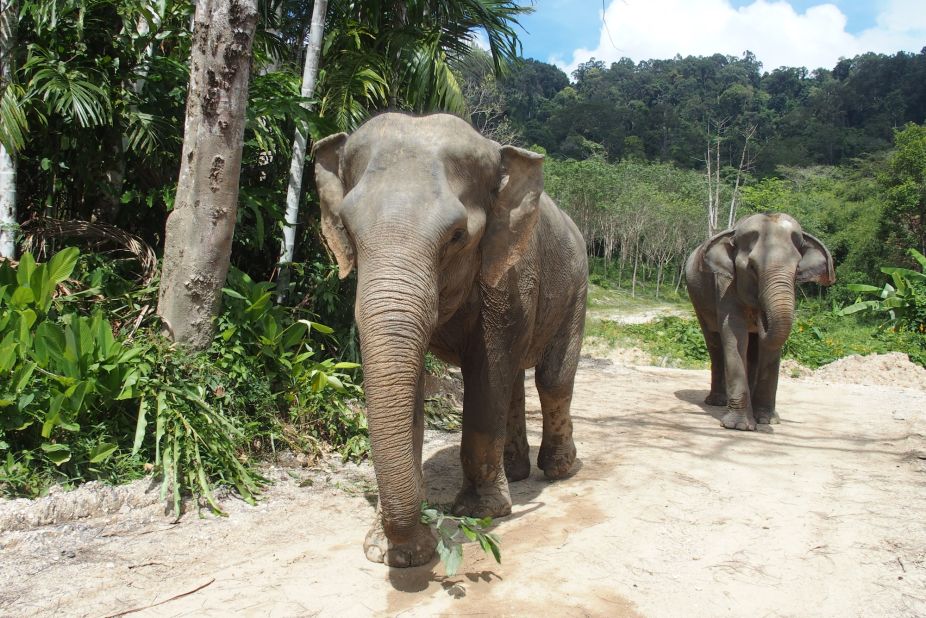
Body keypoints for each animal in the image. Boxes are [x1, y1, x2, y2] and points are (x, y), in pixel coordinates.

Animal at [312, 113, 588, 564]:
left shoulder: (508, 273)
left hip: (577, 287)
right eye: (348, 231)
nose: (426, 536)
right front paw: (395, 553)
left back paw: (560, 469)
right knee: (515, 380)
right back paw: (516, 473)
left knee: (552, 377)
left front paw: (480, 513)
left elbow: (487, 374)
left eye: (457, 235)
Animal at [684, 214, 836, 430]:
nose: (760, 317)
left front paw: (767, 420)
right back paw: (717, 402)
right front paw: (739, 426)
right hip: (698, 300)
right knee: (714, 342)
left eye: (797, 269)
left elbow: (768, 346)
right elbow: (734, 333)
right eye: (752, 268)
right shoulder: (724, 284)